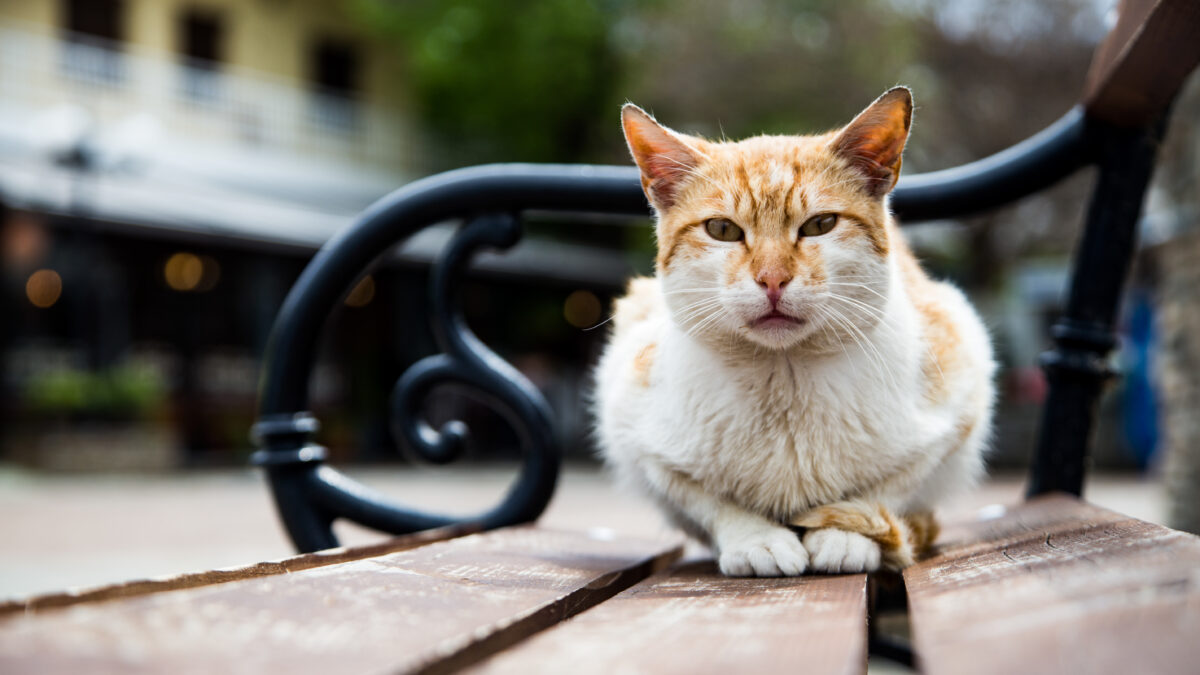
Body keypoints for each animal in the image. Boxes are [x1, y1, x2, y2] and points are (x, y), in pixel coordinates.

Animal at [590, 86, 993, 576]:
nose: (772, 280)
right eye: (721, 229)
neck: (784, 377)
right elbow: (707, 500)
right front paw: (757, 540)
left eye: (820, 224)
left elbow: (888, 488)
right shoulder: (631, 428)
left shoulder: (958, 398)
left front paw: (845, 535)